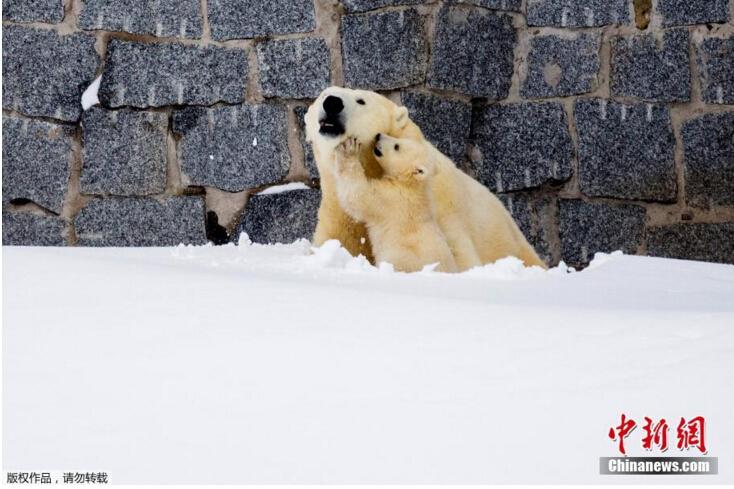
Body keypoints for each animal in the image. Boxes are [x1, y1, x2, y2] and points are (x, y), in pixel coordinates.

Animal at [333, 135, 458, 273]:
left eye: (396, 146)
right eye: (399, 138)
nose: (378, 135)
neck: (409, 184)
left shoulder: (391, 199)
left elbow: (358, 195)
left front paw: (349, 149)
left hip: (402, 259)